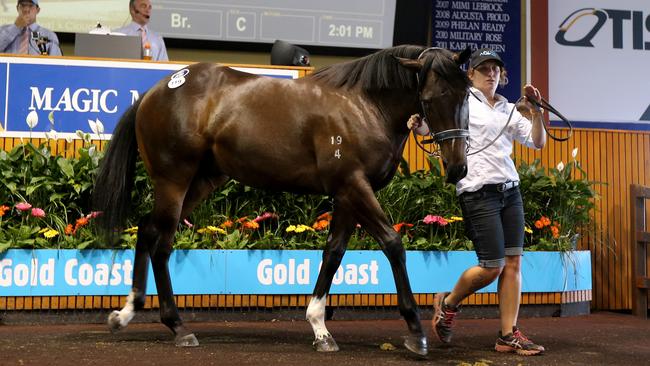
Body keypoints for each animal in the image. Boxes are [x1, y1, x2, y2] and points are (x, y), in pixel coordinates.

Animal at [92, 44, 466, 356]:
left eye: (466, 95)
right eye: (430, 98)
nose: (457, 167)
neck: (364, 106)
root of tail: (155, 91)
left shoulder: (347, 194)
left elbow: (333, 253)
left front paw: (320, 328)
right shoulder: (354, 186)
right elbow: (392, 243)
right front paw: (416, 331)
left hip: (200, 181)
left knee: (147, 230)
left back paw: (127, 313)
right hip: (174, 180)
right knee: (162, 244)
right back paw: (177, 326)